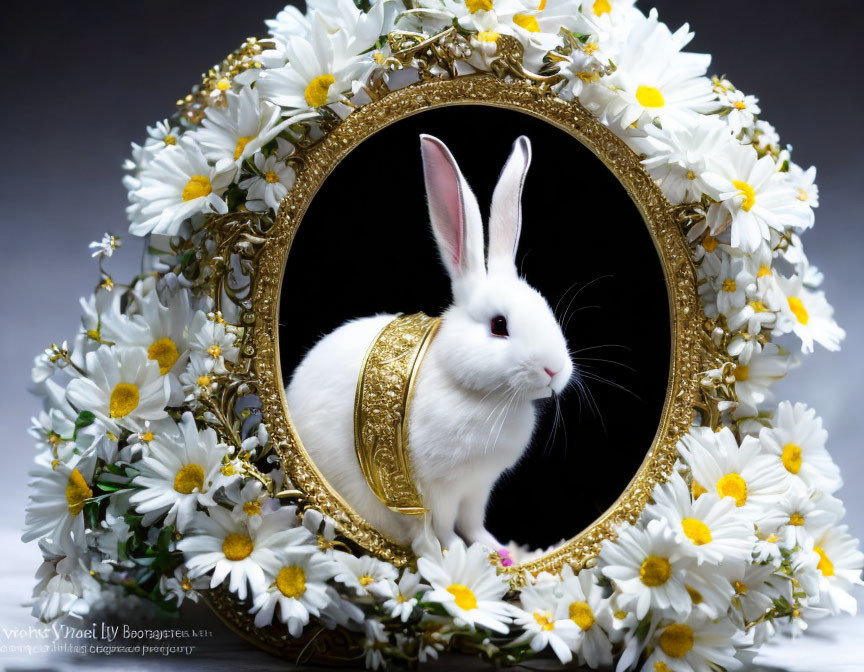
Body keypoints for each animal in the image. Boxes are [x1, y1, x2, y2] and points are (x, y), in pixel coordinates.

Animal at [286, 134, 576, 548]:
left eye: (546, 308)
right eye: (499, 325)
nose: (555, 371)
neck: (478, 395)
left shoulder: (479, 488)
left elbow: (473, 523)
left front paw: (495, 549)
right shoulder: (439, 489)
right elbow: (444, 526)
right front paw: (454, 551)